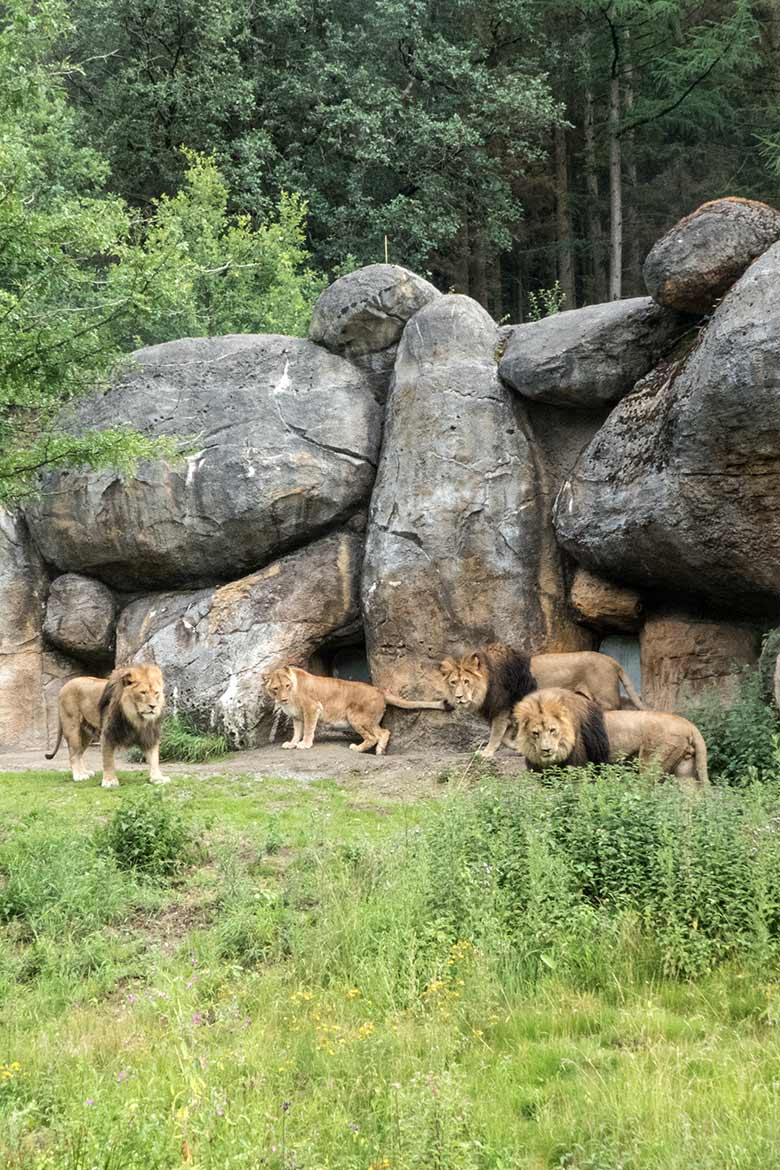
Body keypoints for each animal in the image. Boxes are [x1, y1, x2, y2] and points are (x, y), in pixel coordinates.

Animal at [261, 664, 449, 753]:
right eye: (276, 688)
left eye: (287, 685)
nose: (284, 699)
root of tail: (379, 690)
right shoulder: (297, 716)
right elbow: (297, 731)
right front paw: (292, 743)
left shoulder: (312, 708)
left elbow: (307, 730)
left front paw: (304, 745)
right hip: (370, 720)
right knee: (384, 732)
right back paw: (380, 751)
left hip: (355, 718)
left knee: (373, 737)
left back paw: (357, 748)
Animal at [439, 641, 645, 758]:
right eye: (453, 682)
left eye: (467, 682)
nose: (458, 697)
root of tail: (612, 661)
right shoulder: (514, 709)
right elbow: (507, 735)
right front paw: (518, 747)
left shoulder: (502, 707)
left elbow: (496, 734)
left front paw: (486, 753)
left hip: (605, 699)